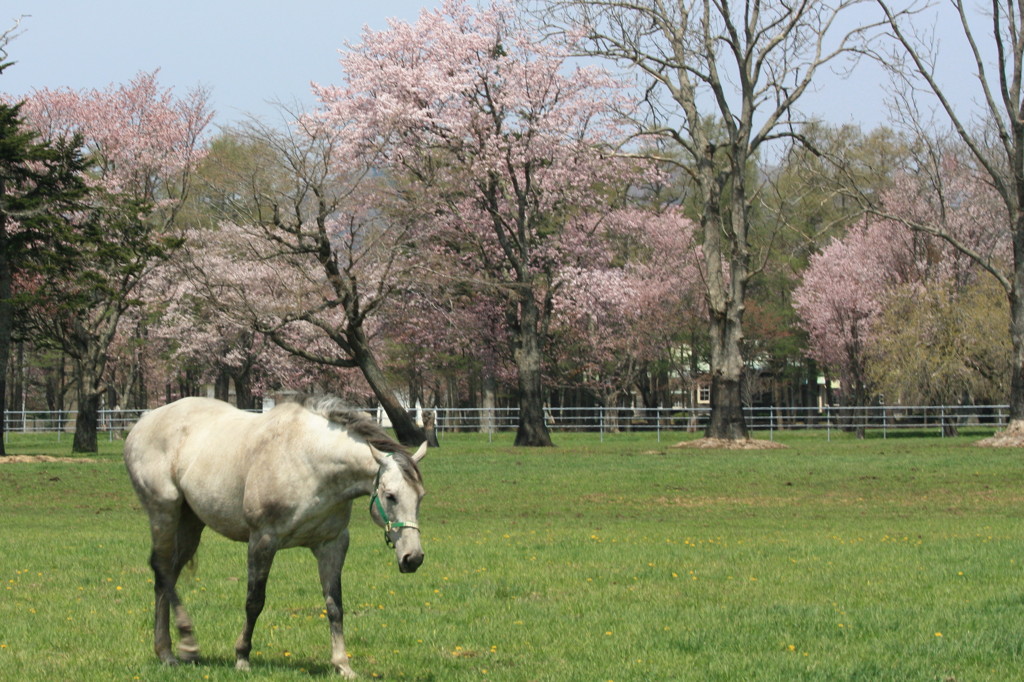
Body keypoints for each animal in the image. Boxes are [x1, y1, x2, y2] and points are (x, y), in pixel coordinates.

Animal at [123, 393, 428, 675]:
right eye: (390, 496)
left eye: (420, 497)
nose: (413, 558)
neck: (310, 460)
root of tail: (142, 424)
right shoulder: (263, 541)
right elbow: (254, 601)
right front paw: (242, 657)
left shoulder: (332, 544)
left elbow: (334, 605)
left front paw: (342, 664)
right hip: (164, 512)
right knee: (162, 569)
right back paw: (185, 644)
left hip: (190, 523)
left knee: (167, 576)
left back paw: (166, 651)